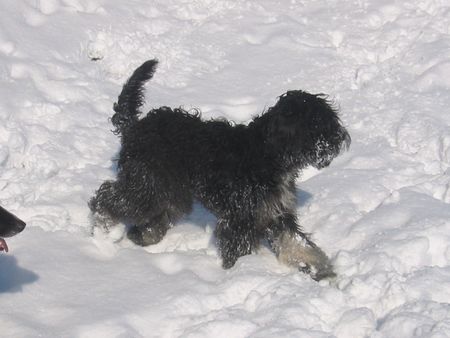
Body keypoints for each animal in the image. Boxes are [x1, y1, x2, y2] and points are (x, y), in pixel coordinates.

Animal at [89, 60, 350, 280]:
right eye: (315, 123)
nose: (342, 138)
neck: (266, 155)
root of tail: (135, 128)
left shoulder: (276, 213)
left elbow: (297, 244)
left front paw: (321, 270)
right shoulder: (239, 220)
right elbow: (240, 249)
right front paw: (244, 273)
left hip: (170, 192)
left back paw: (144, 235)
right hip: (147, 184)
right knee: (107, 197)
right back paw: (103, 230)